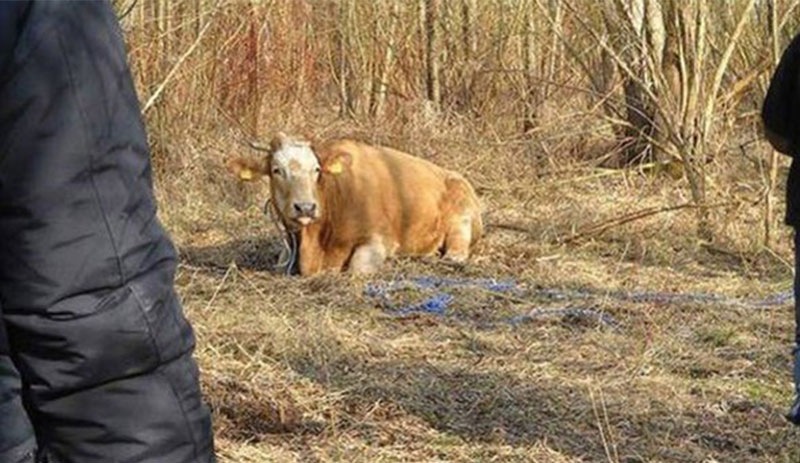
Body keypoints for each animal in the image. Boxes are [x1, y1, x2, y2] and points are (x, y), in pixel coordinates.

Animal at [228, 132, 484, 276]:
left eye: (317, 169)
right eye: (276, 170)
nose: (306, 207)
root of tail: (454, 175)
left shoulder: (380, 239)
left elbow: (357, 268)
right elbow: (281, 262)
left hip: (461, 218)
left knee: (457, 248)